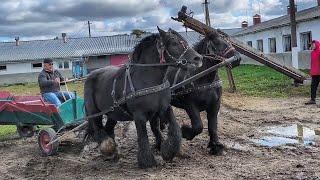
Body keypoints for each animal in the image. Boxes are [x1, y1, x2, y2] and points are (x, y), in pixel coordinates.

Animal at [84, 27, 202, 168]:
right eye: (174, 43)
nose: (198, 58)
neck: (148, 81)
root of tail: (90, 75)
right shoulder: (139, 115)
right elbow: (143, 136)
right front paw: (147, 161)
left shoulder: (165, 108)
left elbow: (175, 129)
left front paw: (168, 152)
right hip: (94, 112)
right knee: (98, 130)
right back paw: (108, 148)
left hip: (113, 113)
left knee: (108, 129)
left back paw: (114, 154)